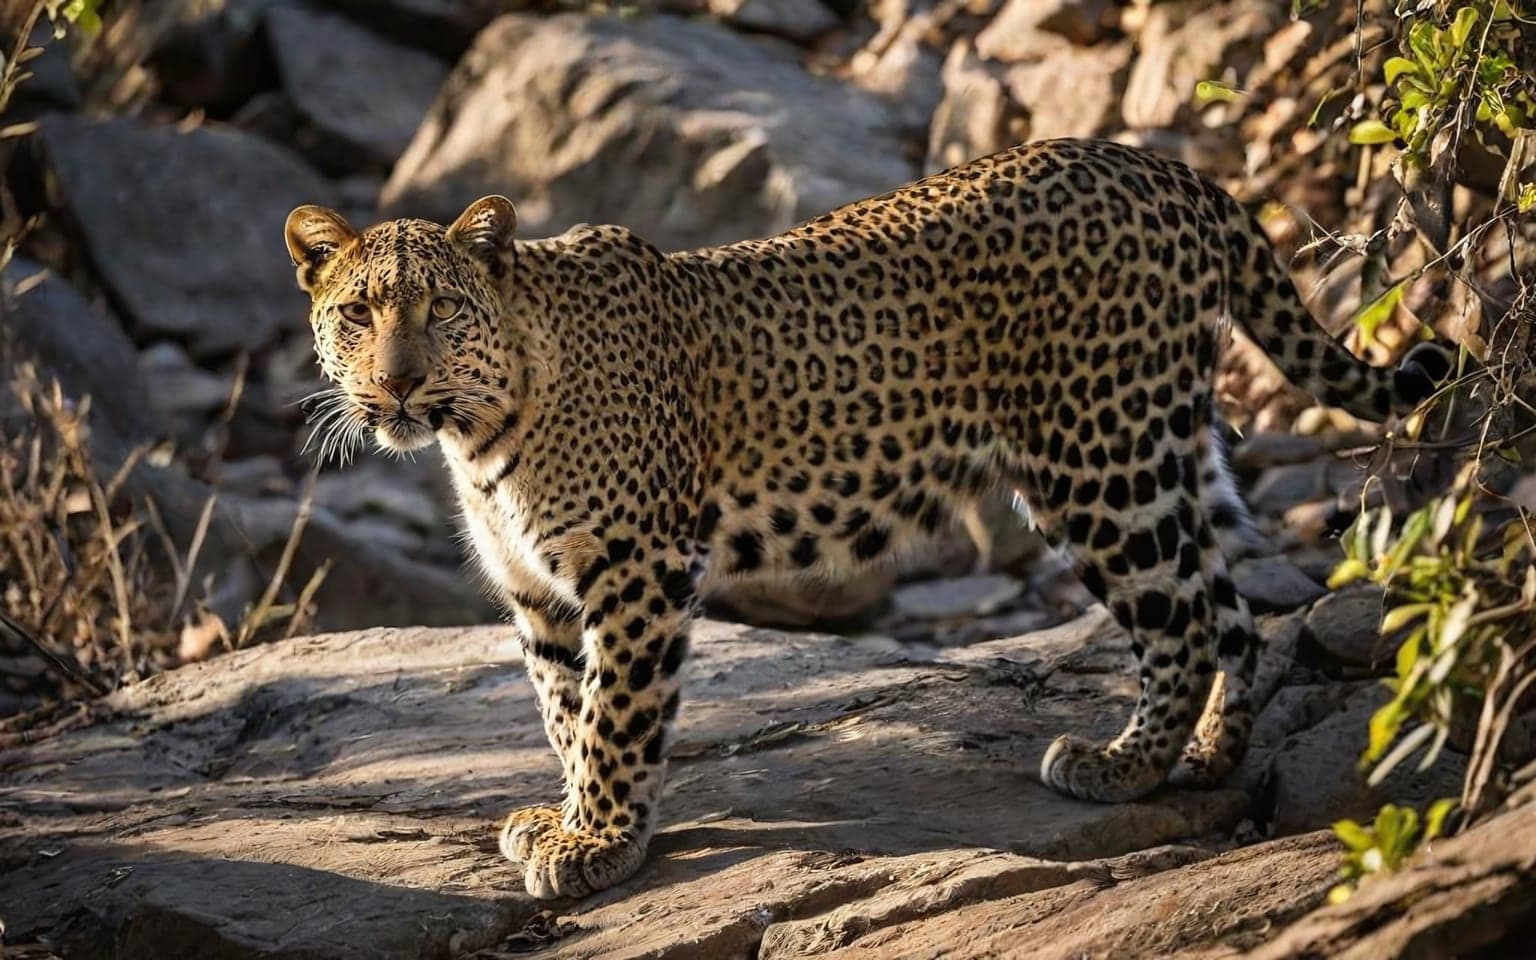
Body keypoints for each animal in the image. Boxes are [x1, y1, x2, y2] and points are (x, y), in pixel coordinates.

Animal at [283, 138, 1450, 900]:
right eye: (358, 313)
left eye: (441, 311)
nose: (395, 385)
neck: (482, 430)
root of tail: (1163, 165)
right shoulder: (540, 591)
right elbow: (565, 709)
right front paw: (566, 817)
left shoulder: (639, 566)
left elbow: (617, 715)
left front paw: (599, 843)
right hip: (1164, 446)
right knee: (1231, 603)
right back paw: (1208, 755)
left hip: (1096, 456)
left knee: (1184, 618)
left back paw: (1122, 764)